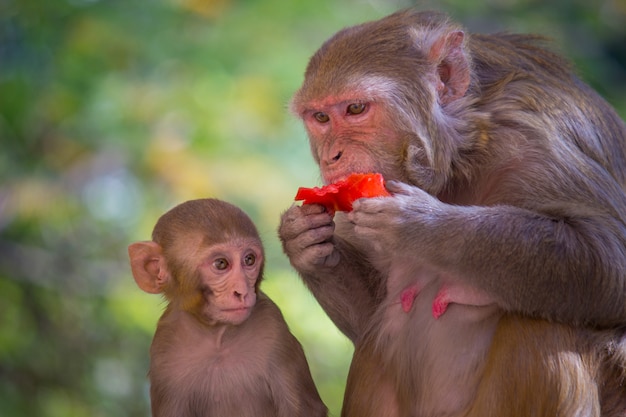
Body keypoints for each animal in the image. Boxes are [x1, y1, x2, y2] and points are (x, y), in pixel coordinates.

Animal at [130, 198, 330, 416]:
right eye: (221, 264)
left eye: (249, 259)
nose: (242, 291)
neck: (218, 338)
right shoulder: (165, 349)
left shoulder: (273, 327)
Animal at [278, 7, 624, 416]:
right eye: (320, 118)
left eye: (356, 109)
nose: (332, 157)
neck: (465, 152)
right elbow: (369, 315)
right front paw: (303, 242)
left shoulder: (532, 134)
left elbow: (610, 261)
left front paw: (420, 224)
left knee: (546, 326)